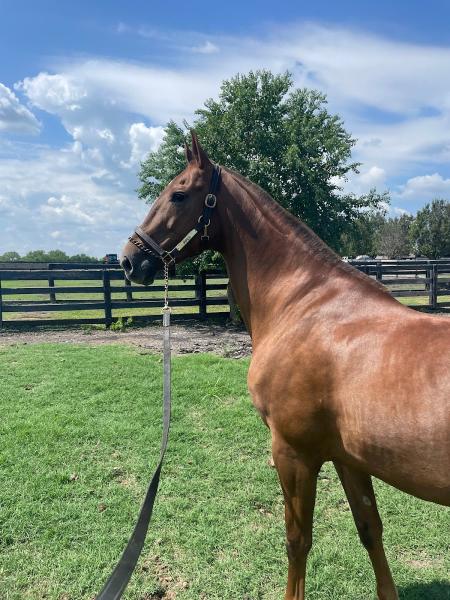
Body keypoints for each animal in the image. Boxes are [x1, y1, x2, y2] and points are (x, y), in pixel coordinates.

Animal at [120, 132, 450, 600]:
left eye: (179, 194)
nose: (129, 260)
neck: (304, 304)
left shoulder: (293, 453)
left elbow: (298, 540)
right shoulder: (348, 458)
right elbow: (370, 528)